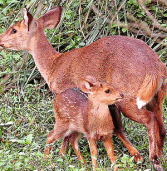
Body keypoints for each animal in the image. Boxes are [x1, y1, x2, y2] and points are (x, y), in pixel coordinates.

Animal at [0, 6, 166, 170]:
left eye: (14, 29)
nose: (0, 39)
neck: (53, 66)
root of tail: (155, 68)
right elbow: (117, 127)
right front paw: (135, 156)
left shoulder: (66, 94)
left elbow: (69, 133)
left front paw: (62, 155)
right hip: (156, 98)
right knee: (161, 126)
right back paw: (158, 157)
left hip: (129, 98)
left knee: (149, 119)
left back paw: (153, 158)